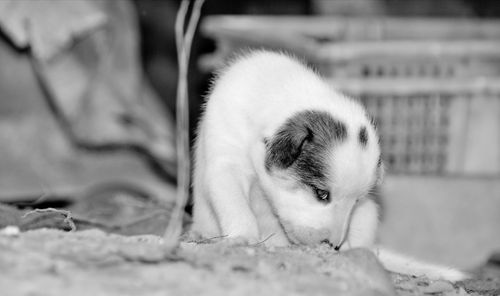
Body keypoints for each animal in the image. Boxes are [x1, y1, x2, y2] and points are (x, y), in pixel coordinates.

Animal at [191, 49, 468, 280]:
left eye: (356, 201)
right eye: (321, 193)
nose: (334, 246)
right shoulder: (226, 166)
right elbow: (236, 205)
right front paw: (244, 238)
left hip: (369, 215)